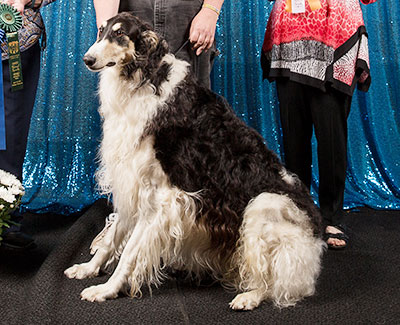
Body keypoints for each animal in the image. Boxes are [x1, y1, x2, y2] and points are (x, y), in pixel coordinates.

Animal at [65, 12, 326, 310]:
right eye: (102, 31)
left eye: (120, 34)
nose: (87, 59)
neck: (145, 79)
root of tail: (316, 241)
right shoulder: (131, 182)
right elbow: (112, 238)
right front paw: (88, 268)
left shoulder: (160, 197)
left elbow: (129, 253)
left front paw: (106, 289)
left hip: (264, 205)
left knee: (268, 280)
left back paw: (249, 295)